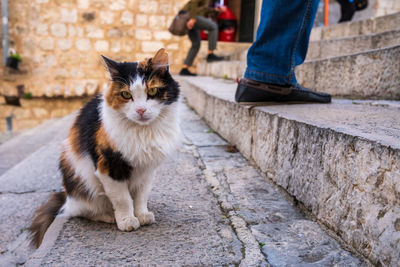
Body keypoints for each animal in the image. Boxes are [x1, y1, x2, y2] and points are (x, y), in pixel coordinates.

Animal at [29, 48, 181, 249]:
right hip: (85, 181)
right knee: (83, 211)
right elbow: (123, 199)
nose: (140, 110)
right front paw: (127, 220)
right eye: (126, 95)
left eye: (153, 90)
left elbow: (141, 196)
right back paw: (110, 216)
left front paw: (142, 215)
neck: (142, 132)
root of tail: (66, 197)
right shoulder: (109, 167)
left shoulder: (147, 169)